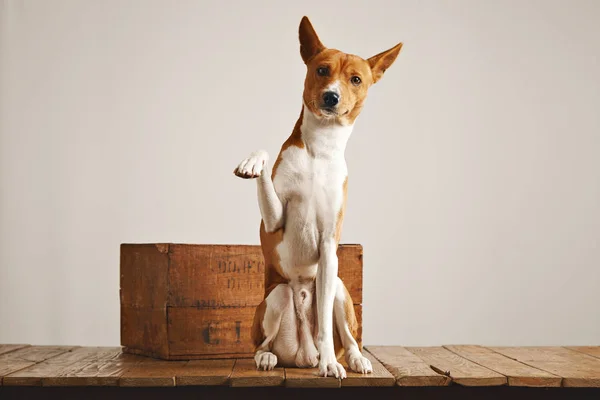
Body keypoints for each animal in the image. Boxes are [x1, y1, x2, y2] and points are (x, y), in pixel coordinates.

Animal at [234, 16, 404, 378]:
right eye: (322, 70)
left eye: (356, 79)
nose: (331, 97)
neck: (320, 150)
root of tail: (302, 354)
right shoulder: (274, 221)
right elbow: (264, 156)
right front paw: (252, 162)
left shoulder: (328, 247)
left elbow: (325, 323)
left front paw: (330, 363)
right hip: (277, 296)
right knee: (263, 343)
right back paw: (267, 358)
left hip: (338, 287)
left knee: (347, 336)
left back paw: (351, 359)